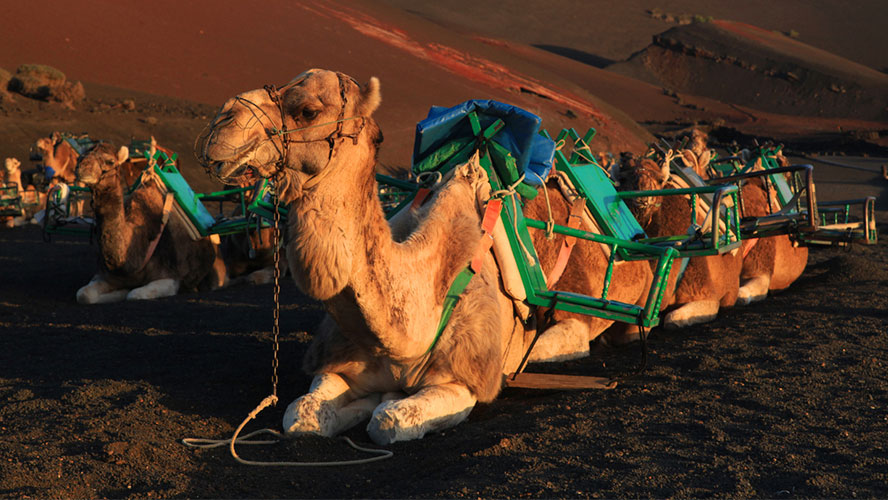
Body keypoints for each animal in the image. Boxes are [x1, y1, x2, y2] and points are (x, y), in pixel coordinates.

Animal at [75, 143, 225, 302]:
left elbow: (134, 295)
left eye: (110, 161)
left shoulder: (170, 277)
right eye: (80, 158)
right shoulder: (105, 275)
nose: (82, 167)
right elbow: (84, 294)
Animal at [196, 68, 652, 444]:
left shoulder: (463, 380)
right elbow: (301, 414)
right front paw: (366, 399)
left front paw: (382, 403)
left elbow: (388, 421)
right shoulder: (337, 362)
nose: (221, 124)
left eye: (308, 110)